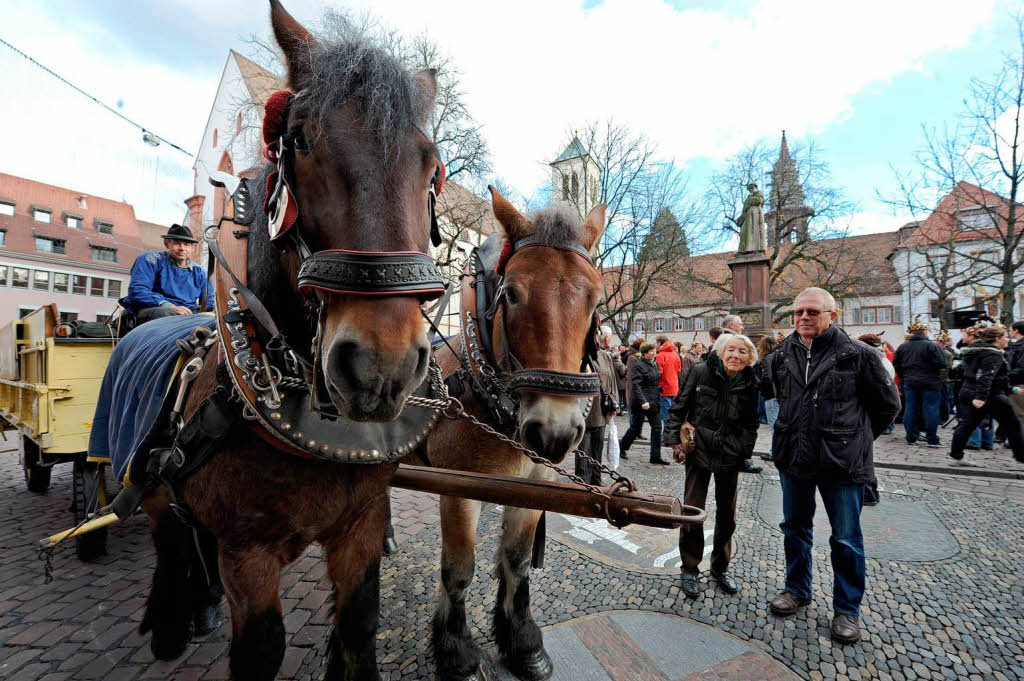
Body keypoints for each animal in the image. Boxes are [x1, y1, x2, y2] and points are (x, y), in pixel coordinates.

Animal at [134, 2, 442, 675]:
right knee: (167, 538)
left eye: (430, 162)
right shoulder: (247, 551)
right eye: (300, 139)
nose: (380, 366)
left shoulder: (361, 525)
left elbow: (358, 623)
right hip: (148, 485)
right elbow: (262, 645)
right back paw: (168, 622)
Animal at [417, 189, 602, 679]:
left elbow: (517, 560)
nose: (554, 431)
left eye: (595, 300)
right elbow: (459, 569)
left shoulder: (538, 481)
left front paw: (522, 642)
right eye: (512, 293)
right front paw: (457, 653)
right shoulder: (458, 489)